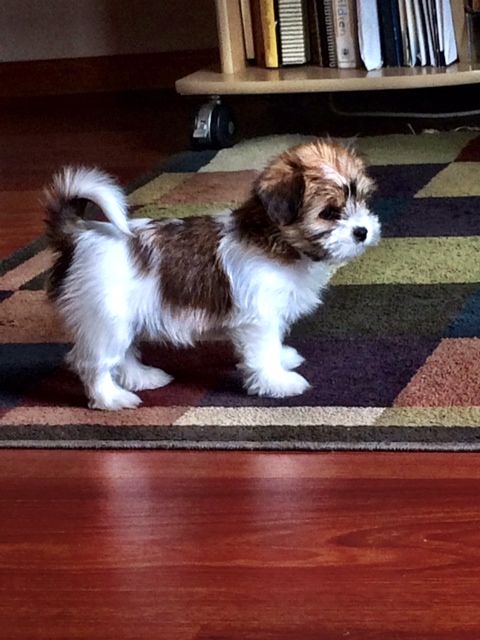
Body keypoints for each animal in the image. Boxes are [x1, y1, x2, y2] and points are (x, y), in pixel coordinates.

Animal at [46, 139, 382, 410]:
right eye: (329, 213)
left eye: (362, 201)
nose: (363, 231)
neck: (275, 241)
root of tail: (79, 235)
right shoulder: (258, 319)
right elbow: (264, 350)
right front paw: (277, 381)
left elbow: (274, 342)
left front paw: (282, 358)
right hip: (107, 320)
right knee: (94, 363)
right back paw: (111, 398)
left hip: (123, 317)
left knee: (124, 354)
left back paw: (142, 377)